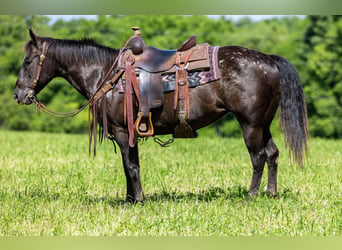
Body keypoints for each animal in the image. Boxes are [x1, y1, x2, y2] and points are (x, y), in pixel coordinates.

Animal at [13, 28, 308, 203]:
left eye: (28, 61)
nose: (18, 95)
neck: (106, 73)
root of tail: (268, 59)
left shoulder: (122, 131)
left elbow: (131, 165)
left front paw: (138, 200)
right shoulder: (127, 133)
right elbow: (129, 165)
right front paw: (130, 199)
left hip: (250, 124)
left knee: (258, 157)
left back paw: (251, 196)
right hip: (263, 124)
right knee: (272, 154)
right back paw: (271, 194)